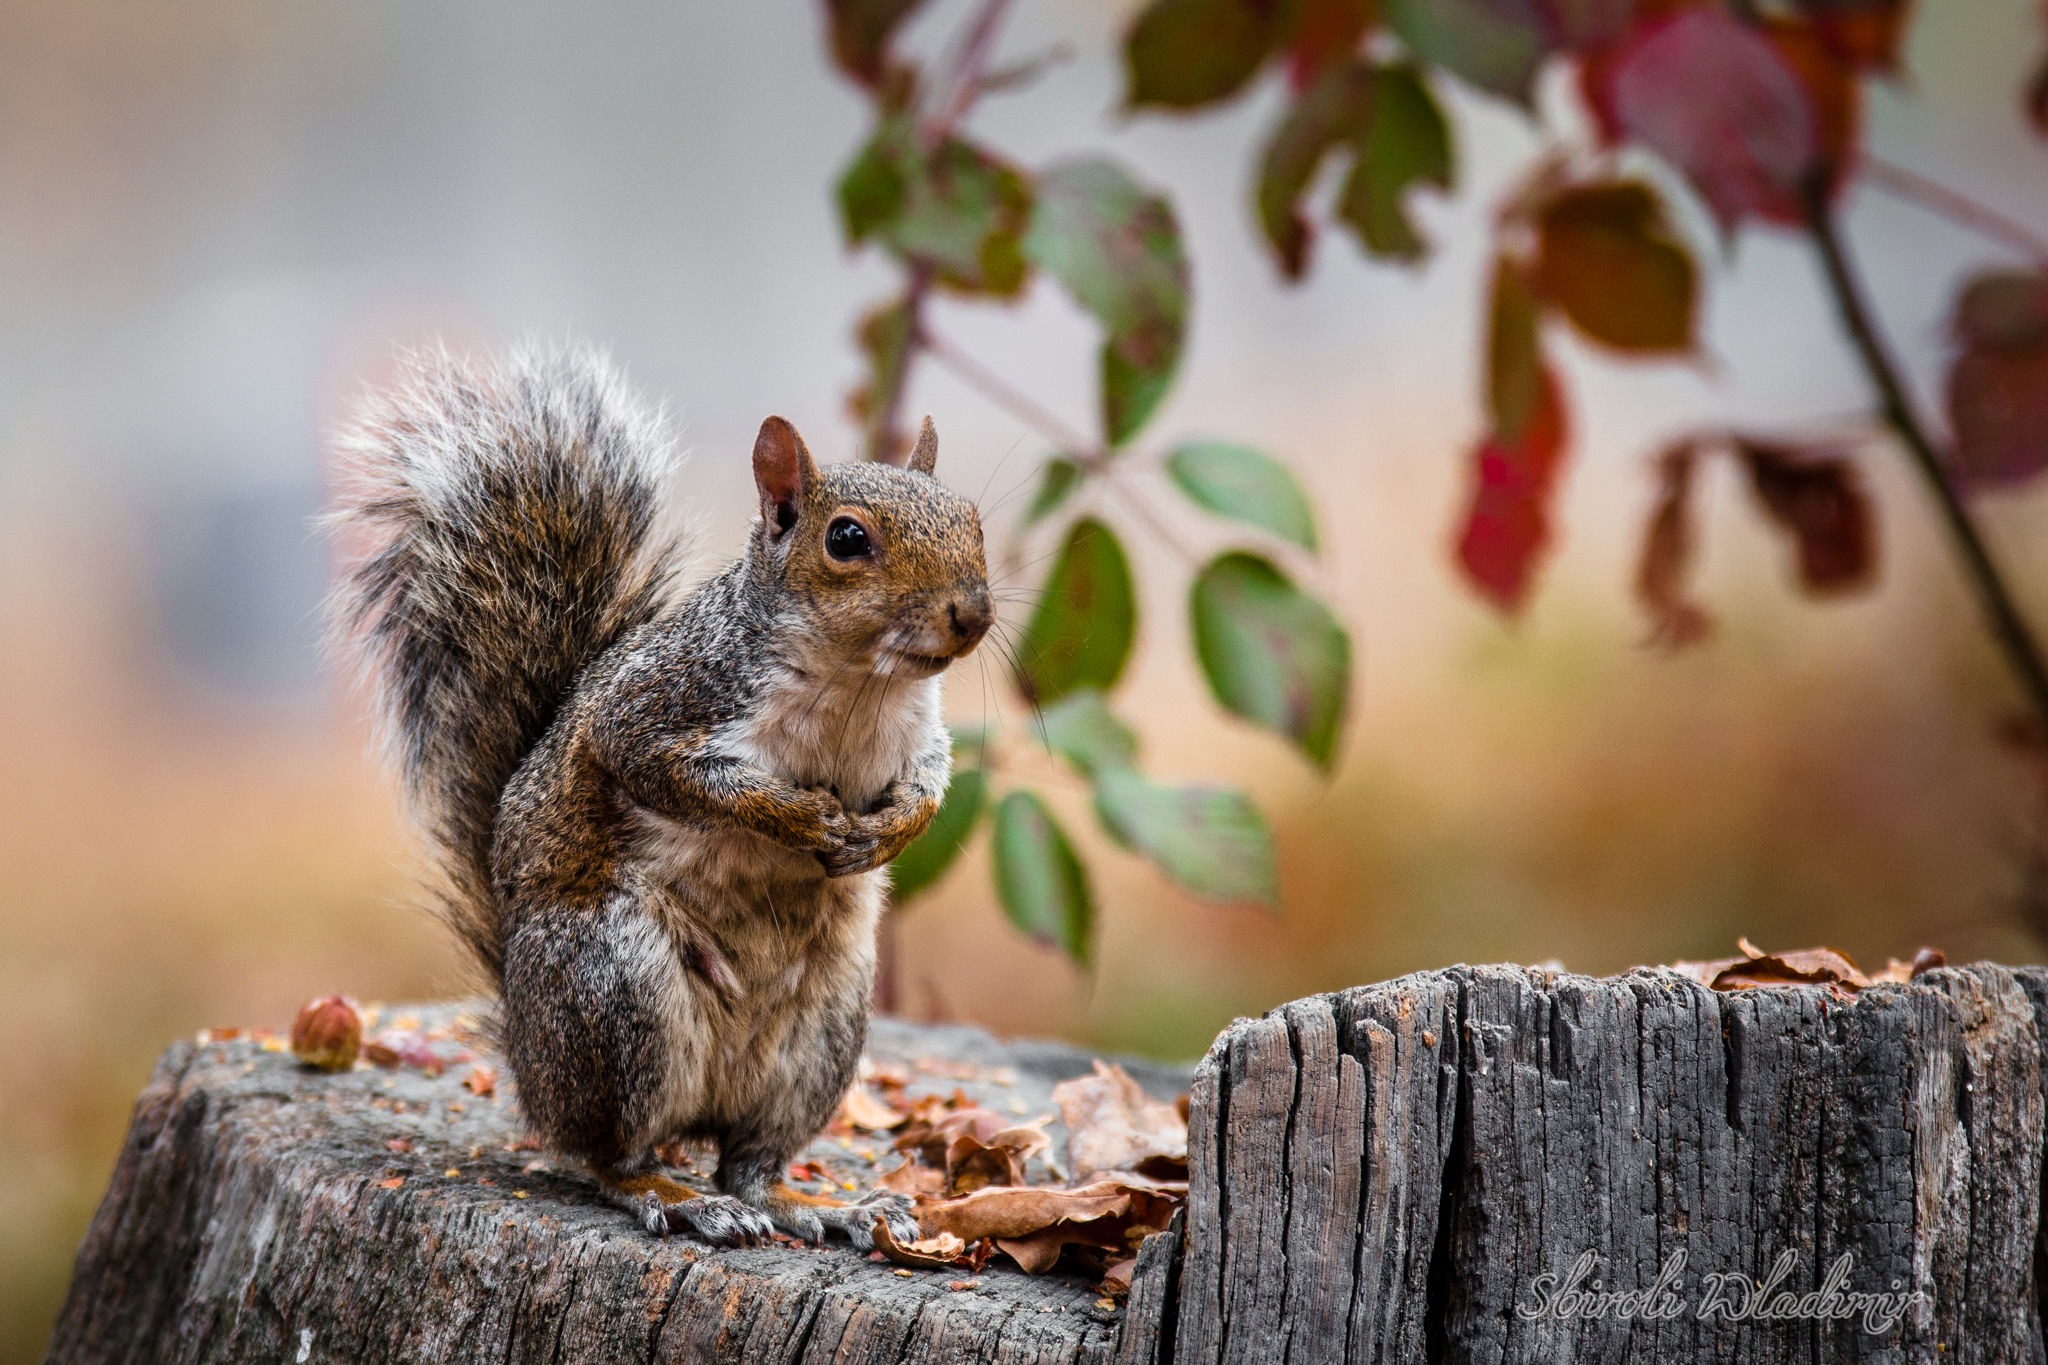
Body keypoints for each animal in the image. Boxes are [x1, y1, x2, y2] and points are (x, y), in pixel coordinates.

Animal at [326, 344, 991, 1248]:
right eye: (847, 538)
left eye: (972, 517)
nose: (974, 613)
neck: (862, 682)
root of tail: (527, 1050)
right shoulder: (656, 707)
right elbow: (681, 775)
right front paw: (800, 815)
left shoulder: (919, 735)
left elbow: (929, 784)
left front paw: (885, 833)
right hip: (616, 990)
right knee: (609, 1154)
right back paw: (676, 1196)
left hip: (823, 1030)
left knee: (751, 1162)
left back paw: (820, 1204)